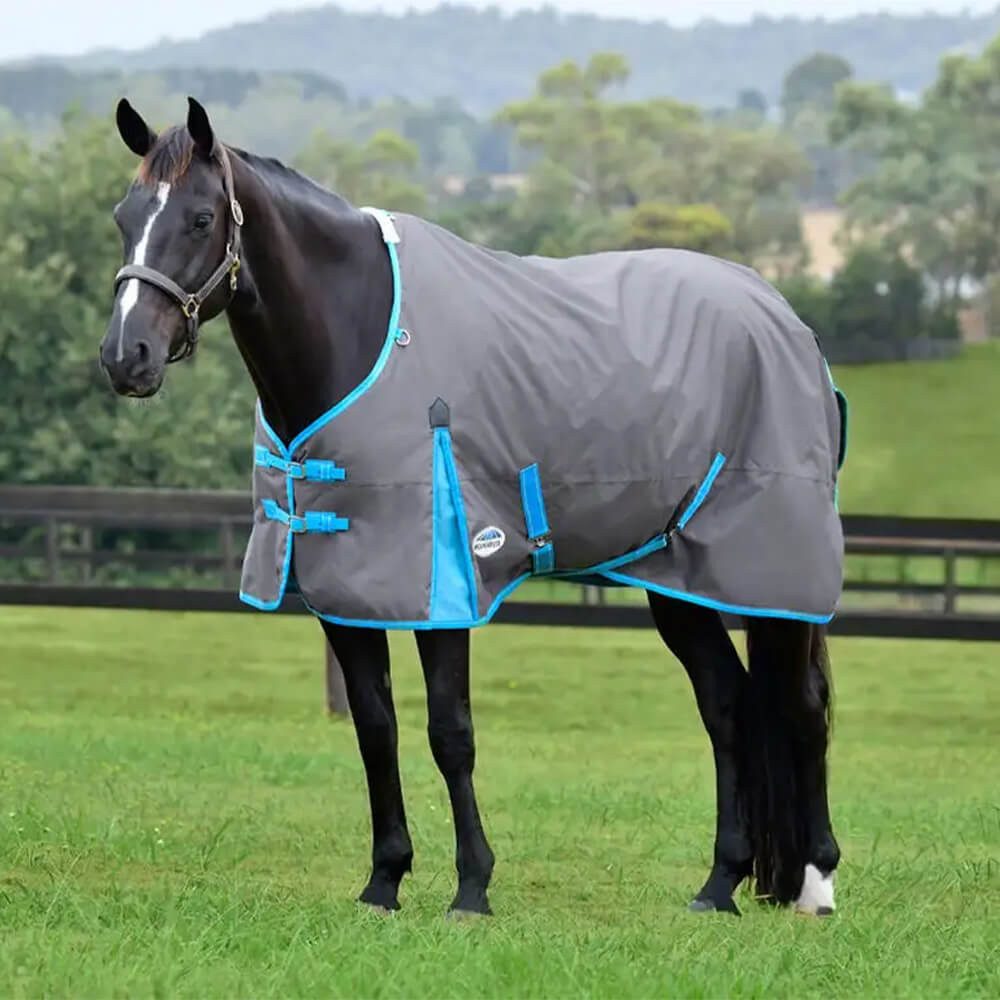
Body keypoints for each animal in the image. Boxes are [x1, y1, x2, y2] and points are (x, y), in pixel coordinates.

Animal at [98, 98, 842, 918]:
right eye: (123, 216)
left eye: (201, 218)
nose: (125, 356)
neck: (361, 336)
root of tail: (784, 317)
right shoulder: (347, 589)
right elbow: (375, 727)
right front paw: (384, 881)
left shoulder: (445, 583)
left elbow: (449, 731)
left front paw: (472, 888)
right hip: (676, 576)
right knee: (728, 704)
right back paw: (718, 884)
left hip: (773, 569)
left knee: (802, 705)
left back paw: (816, 881)